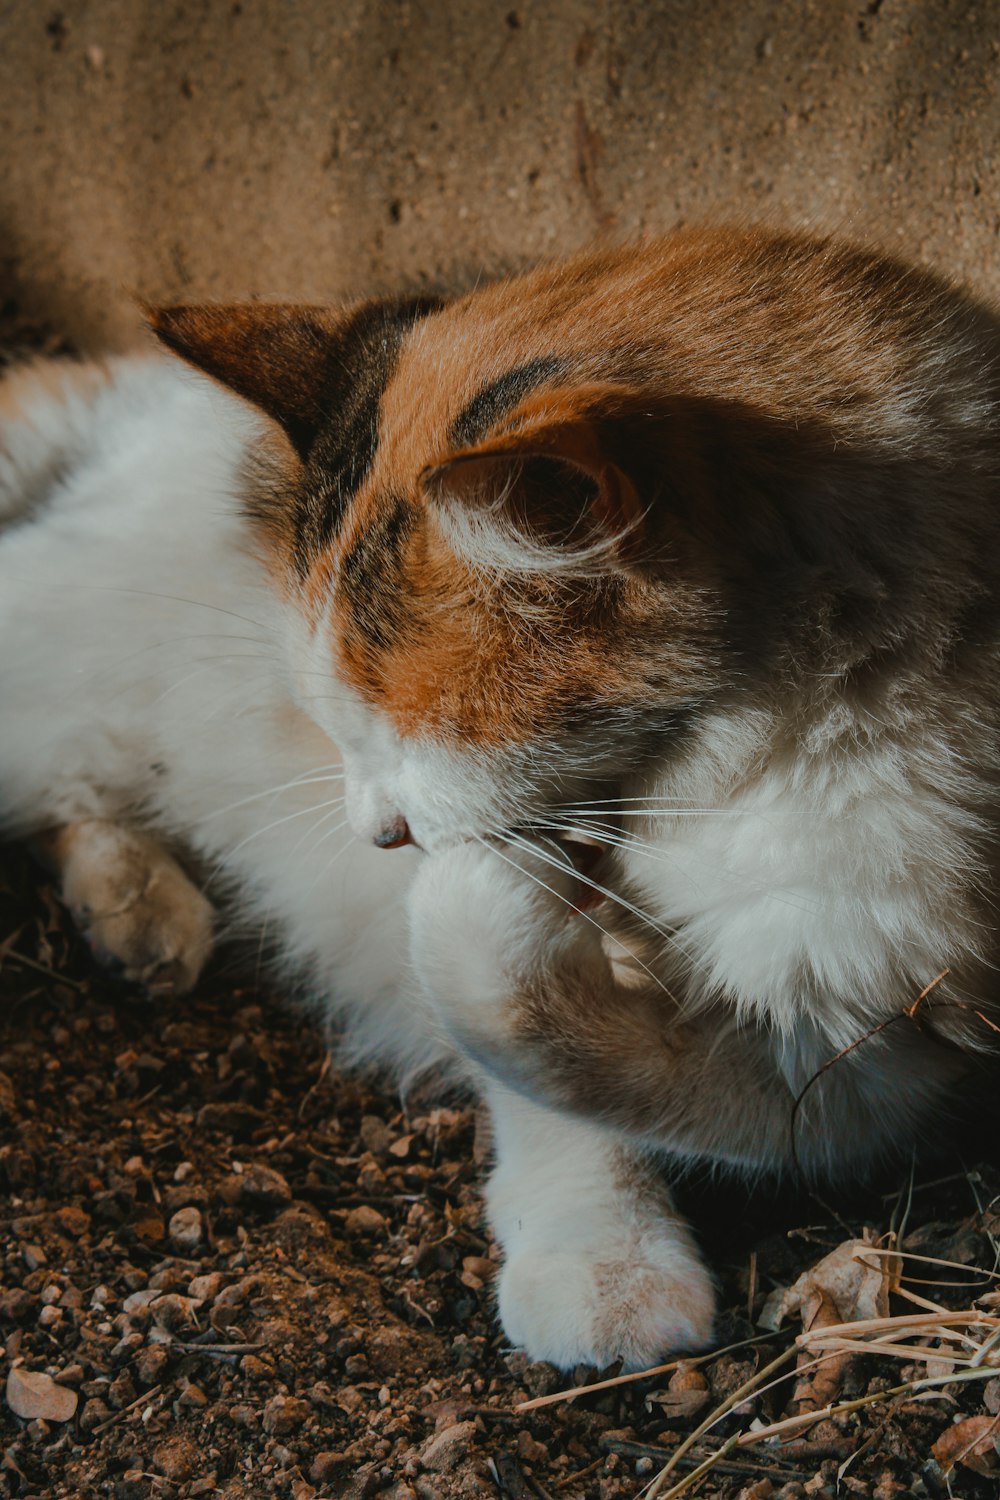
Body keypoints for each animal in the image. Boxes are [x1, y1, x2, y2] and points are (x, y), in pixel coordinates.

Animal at [1, 222, 1000, 1374]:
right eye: (337, 725)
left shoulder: (879, 1039)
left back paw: (138, 918)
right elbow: (522, 1047)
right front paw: (604, 1262)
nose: (378, 835)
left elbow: (685, 1090)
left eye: (417, 732)